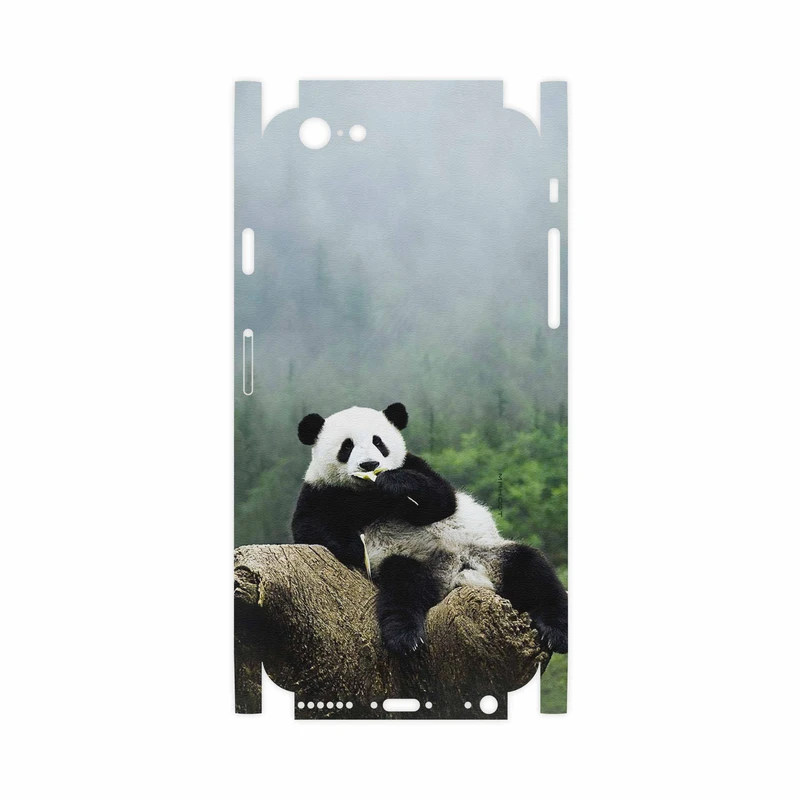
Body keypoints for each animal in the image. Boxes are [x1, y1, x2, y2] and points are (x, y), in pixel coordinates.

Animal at [292, 403, 568, 656]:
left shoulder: (416, 465)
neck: (368, 494)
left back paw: (556, 632)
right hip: (415, 563)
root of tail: (459, 573)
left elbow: (442, 500)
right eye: (347, 446)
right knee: (403, 587)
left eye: (378, 442)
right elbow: (309, 528)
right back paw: (405, 637)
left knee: (533, 570)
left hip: (490, 553)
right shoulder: (320, 491)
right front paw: (354, 547)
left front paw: (395, 483)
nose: (370, 464)